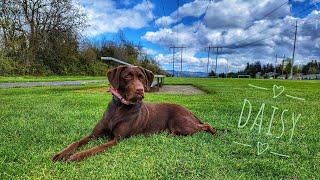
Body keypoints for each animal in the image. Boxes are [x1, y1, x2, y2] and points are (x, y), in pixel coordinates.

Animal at [52, 65, 218, 162]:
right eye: (127, 76)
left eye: (142, 77)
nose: (140, 90)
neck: (120, 107)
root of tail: (190, 111)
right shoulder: (94, 134)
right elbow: (76, 142)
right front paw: (62, 153)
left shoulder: (117, 139)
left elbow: (96, 148)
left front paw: (76, 156)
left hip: (181, 123)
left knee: (206, 125)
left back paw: (215, 134)